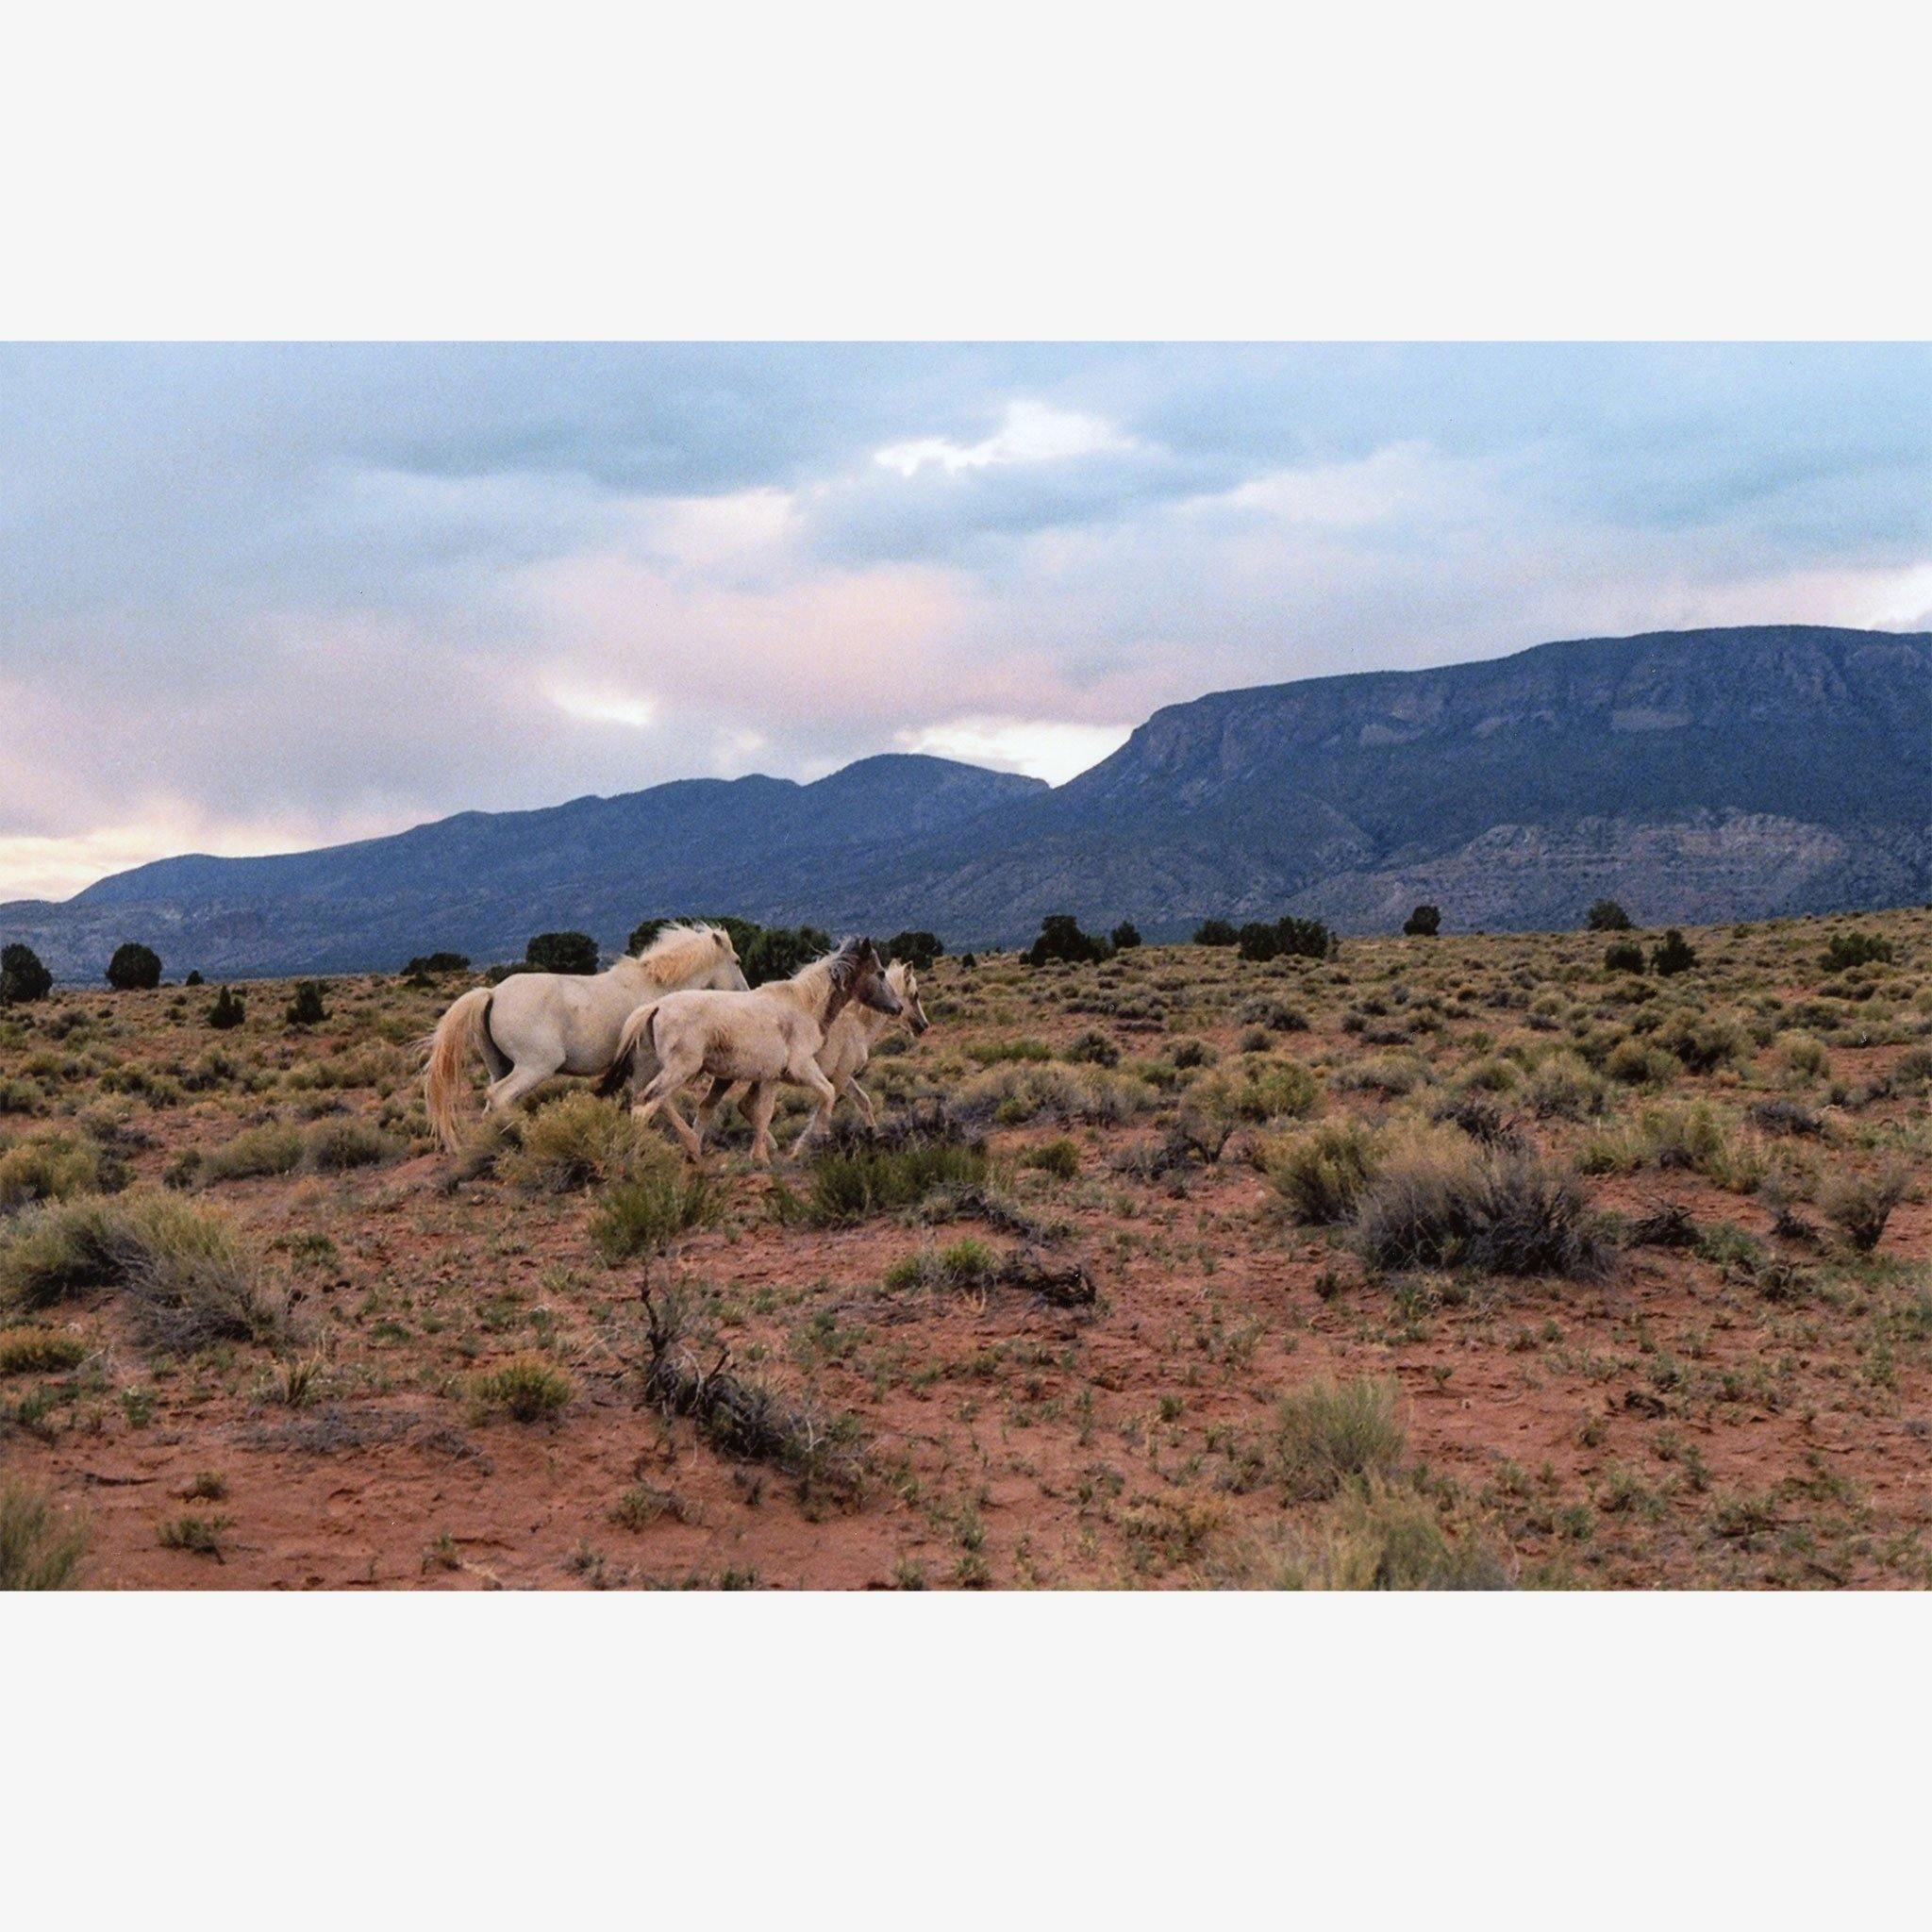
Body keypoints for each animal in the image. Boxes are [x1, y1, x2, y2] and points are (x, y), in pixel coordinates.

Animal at [423, 919, 745, 1143]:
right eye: (737, 961)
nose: (745, 992)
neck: (656, 989)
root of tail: (493, 994)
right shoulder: (648, 1064)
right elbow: (653, 1098)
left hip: (499, 1065)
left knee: (491, 1105)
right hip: (535, 1067)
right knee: (500, 1097)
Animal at [598, 935, 900, 1158]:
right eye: (880, 973)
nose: (897, 1007)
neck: (804, 1005)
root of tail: (656, 1006)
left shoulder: (772, 1077)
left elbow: (763, 1112)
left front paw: (761, 1157)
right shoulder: (802, 1067)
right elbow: (827, 1094)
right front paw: (814, 1141)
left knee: (655, 1103)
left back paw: (693, 1152)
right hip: (680, 1069)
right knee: (647, 1106)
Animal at [691, 958, 931, 1151]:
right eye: (915, 995)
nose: (923, 1026)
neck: (856, 1023)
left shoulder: (843, 1076)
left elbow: (863, 1101)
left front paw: (875, 1133)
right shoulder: (840, 1077)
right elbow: (822, 1111)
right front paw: (802, 1147)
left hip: (734, 1076)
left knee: (721, 1107)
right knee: (738, 1107)